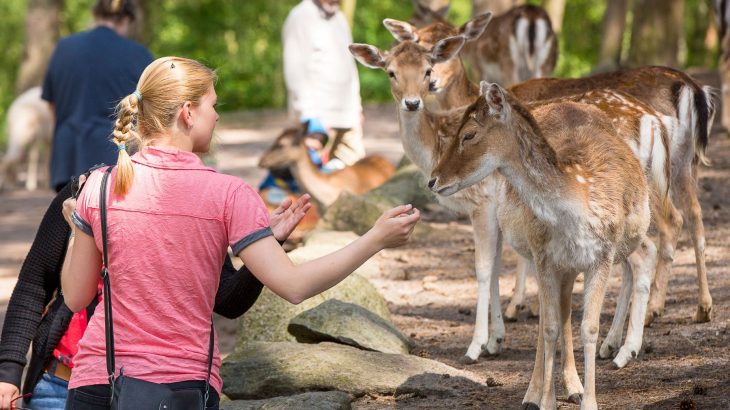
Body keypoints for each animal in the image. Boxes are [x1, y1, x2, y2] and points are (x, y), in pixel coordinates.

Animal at [426, 82, 656, 410]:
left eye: (469, 134)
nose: (433, 180)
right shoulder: (543, 255)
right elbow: (549, 327)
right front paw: (546, 401)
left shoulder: (603, 254)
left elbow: (588, 327)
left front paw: (588, 400)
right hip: (540, 256)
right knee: (550, 318)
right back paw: (533, 394)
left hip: (573, 265)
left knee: (565, 309)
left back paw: (574, 385)